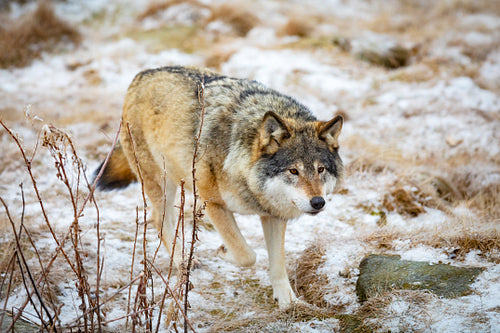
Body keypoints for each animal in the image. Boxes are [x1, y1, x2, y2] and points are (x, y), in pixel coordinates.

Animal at [94, 66, 344, 308]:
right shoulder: (212, 203)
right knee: (159, 220)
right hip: (162, 183)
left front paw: (286, 302)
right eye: (293, 171)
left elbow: (277, 265)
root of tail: (141, 75)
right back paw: (183, 262)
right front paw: (223, 251)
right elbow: (246, 254)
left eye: (320, 170)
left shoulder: (274, 215)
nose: (318, 202)